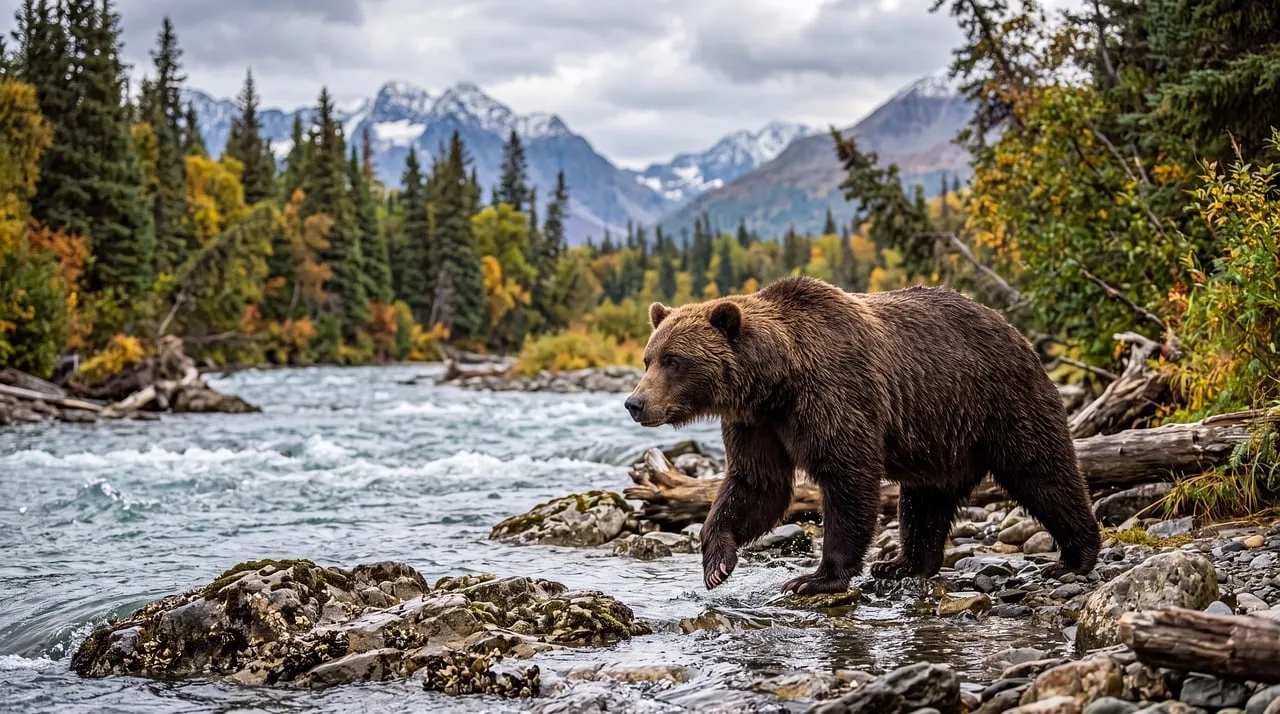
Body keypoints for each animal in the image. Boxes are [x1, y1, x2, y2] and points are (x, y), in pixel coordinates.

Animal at [624, 275, 1100, 595]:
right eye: (648, 358)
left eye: (673, 360)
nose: (635, 402)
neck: (777, 381)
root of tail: (1016, 332)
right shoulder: (756, 423)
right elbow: (758, 484)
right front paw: (716, 561)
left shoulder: (835, 393)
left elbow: (846, 477)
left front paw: (816, 577)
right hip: (941, 435)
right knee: (925, 499)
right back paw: (904, 563)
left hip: (1000, 402)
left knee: (1042, 471)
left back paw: (1073, 557)